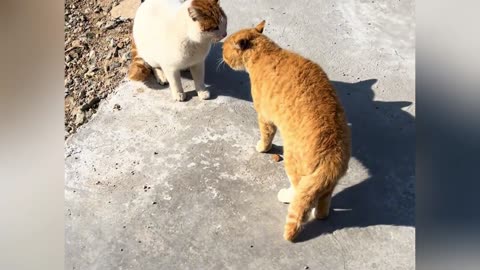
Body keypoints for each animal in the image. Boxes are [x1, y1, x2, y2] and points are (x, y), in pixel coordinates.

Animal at [223, 20, 350, 240]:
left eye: (224, 48)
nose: (221, 55)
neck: (266, 53)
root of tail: (332, 154)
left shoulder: (265, 117)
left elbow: (266, 136)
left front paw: (262, 147)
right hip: (328, 184)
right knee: (323, 204)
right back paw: (320, 213)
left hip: (293, 163)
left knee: (299, 192)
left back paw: (286, 196)